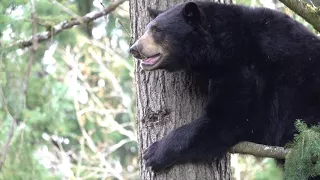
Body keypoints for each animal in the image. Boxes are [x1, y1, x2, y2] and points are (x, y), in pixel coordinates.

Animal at [129, 1, 320, 172]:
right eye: (148, 28)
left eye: (157, 30)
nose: (134, 48)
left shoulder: (244, 67)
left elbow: (234, 115)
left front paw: (154, 153)